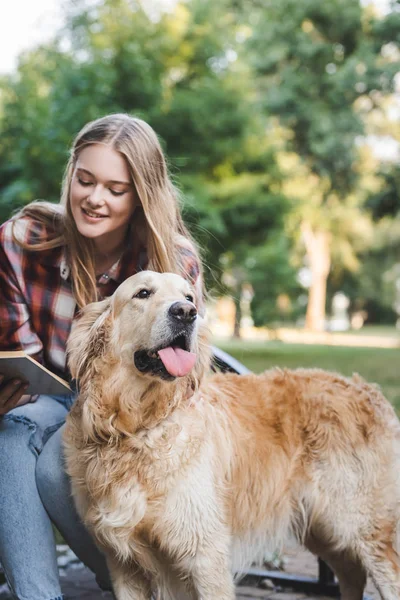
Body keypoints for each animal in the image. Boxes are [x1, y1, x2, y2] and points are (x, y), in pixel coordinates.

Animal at [64, 272, 400, 600]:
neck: (137, 427)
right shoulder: (122, 564)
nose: (186, 313)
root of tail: (369, 390)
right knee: (351, 573)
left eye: (188, 296)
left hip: (360, 525)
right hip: (324, 527)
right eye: (143, 293)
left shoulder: (204, 555)